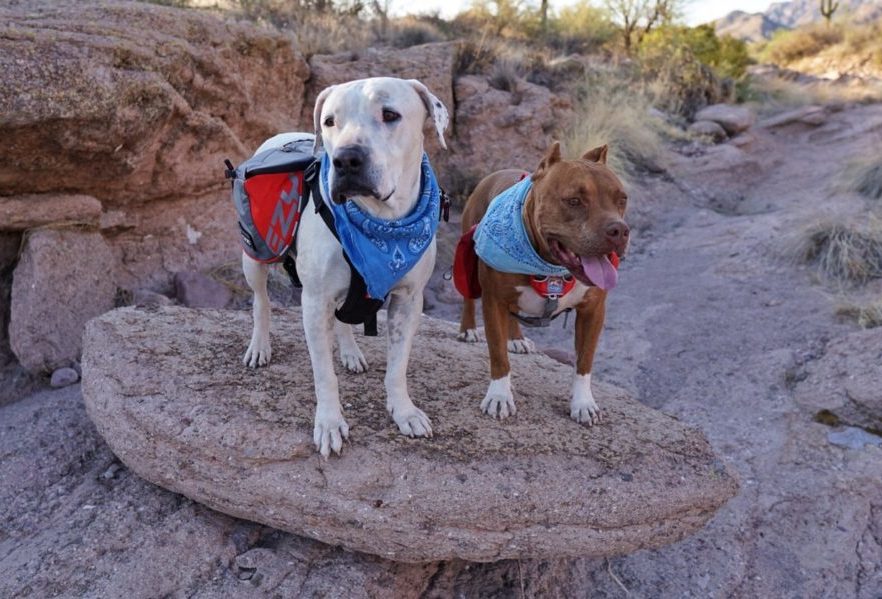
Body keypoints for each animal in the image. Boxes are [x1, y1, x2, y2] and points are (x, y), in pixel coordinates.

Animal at [239, 77, 446, 458]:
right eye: (330, 121)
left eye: (390, 114)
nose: (346, 159)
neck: (382, 227)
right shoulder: (314, 301)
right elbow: (324, 374)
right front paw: (330, 423)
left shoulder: (409, 301)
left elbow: (397, 367)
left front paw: (404, 411)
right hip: (255, 256)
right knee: (261, 301)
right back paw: (260, 346)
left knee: (343, 320)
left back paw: (350, 352)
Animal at [460, 142, 624, 426]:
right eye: (574, 201)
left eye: (622, 200)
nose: (619, 230)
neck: (550, 269)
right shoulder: (493, 301)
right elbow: (498, 356)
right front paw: (499, 396)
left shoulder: (593, 311)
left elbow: (584, 361)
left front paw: (583, 403)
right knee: (469, 298)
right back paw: (468, 329)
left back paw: (516, 338)